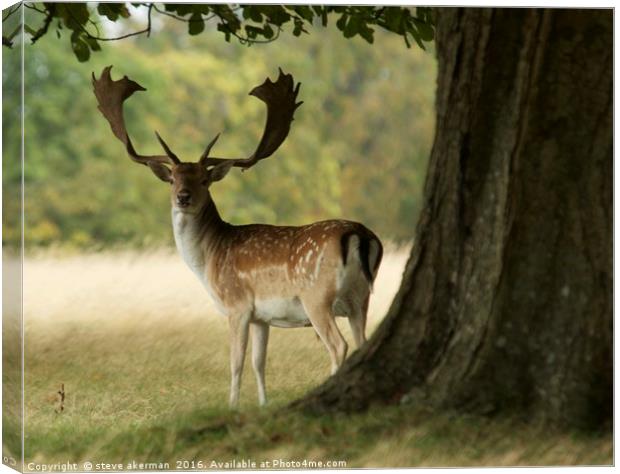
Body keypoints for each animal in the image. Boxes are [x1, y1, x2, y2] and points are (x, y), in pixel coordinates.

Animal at [92, 66, 382, 408]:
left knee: (338, 346)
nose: (183, 197)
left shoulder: (237, 305)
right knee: (363, 341)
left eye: (204, 180)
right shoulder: (261, 317)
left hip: (316, 295)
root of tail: (359, 234)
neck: (210, 259)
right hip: (360, 297)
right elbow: (259, 363)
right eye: (173, 178)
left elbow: (236, 362)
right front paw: (262, 406)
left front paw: (231, 407)